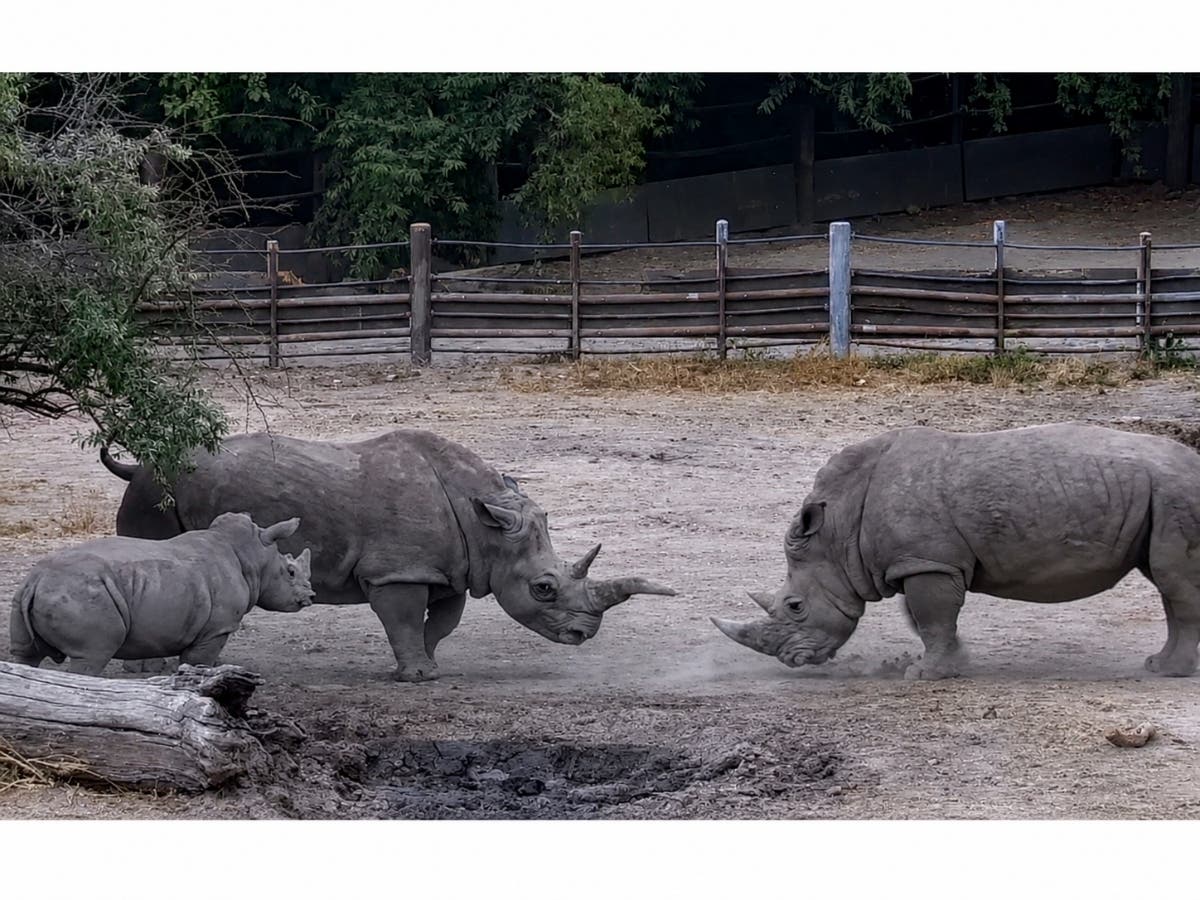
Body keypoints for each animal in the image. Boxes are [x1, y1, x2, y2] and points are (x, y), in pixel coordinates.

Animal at [10, 512, 314, 676]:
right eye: (290, 572)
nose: (309, 598)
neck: (252, 556)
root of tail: (35, 580)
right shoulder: (216, 629)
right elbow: (198, 664)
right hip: (81, 597)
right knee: (91, 657)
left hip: (30, 593)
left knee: (25, 657)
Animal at [100, 429, 675, 682]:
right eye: (544, 588)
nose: (583, 634)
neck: (486, 525)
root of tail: (138, 465)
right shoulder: (396, 571)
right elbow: (400, 619)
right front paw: (417, 678)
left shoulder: (451, 568)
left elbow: (440, 623)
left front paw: (428, 668)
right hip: (155, 490)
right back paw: (147, 670)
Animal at [713, 423, 1200, 679]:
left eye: (794, 606)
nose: (793, 661)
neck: (838, 529)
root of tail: (1193, 463)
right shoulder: (918, 561)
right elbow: (924, 619)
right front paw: (953, 664)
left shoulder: (927, 562)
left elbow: (932, 617)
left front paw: (923, 676)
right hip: (1161, 497)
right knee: (1168, 582)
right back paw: (1160, 666)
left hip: (1176, 493)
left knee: (1174, 583)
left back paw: (1167, 672)